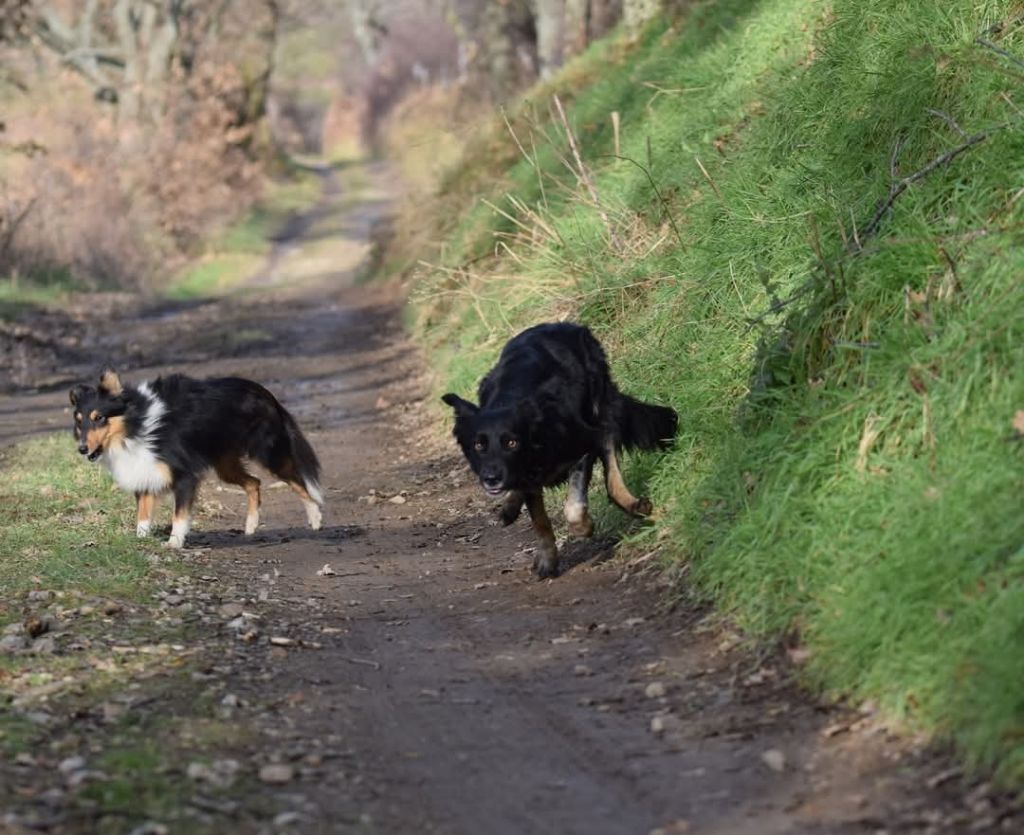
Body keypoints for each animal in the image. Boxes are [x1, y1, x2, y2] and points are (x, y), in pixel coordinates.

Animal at [442, 323, 675, 577]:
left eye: (512, 443)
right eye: (479, 445)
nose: (491, 478)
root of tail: (562, 324)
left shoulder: (584, 446)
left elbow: (572, 508)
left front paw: (585, 527)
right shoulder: (527, 473)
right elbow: (540, 521)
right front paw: (548, 559)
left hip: (601, 406)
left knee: (611, 467)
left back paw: (632, 503)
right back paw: (510, 507)